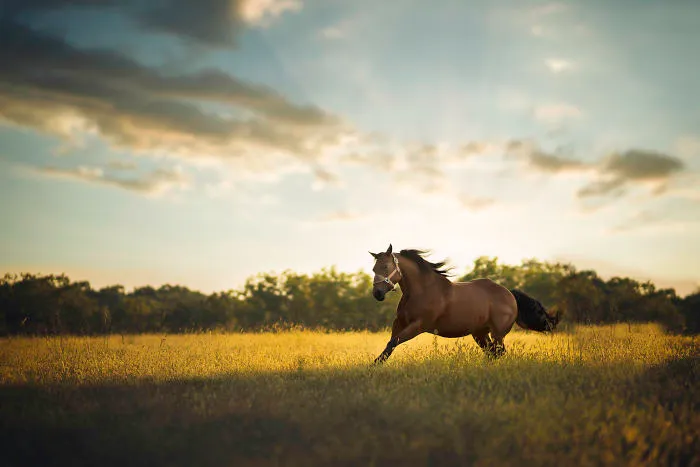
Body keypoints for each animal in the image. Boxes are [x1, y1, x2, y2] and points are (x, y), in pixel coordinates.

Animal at [369, 244, 560, 364]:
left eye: (385, 267)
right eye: (373, 269)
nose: (377, 294)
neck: (422, 290)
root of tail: (509, 294)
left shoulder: (418, 325)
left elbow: (393, 342)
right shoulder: (400, 323)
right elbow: (390, 344)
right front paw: (374, 365)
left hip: (498, 333)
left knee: (499, 352)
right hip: (480, 333)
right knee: (492, 353)